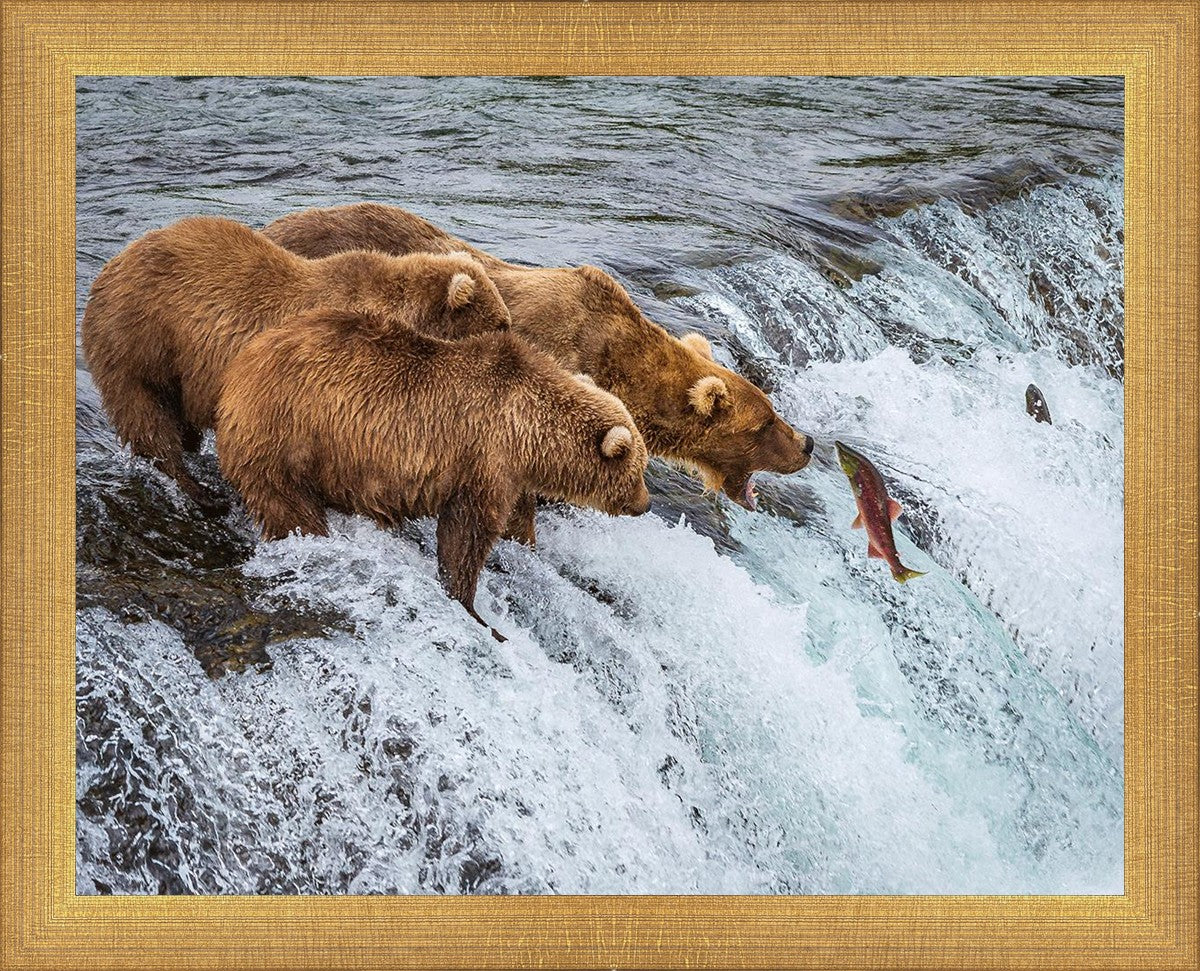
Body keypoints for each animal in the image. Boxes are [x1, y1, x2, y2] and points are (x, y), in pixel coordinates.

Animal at [80, 215, 511, 514]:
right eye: (501, 323)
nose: (513, 340)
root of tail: (110, 266)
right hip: (140, 341)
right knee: (147, 417)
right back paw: (199, 491)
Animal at [215, 306, 651, 639]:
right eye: (638, 470)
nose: (645, 504)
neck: (529, 432)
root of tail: (239, 368)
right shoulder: (483, 458)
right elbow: (466, 535)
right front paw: (474, 608)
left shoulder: (511, 475)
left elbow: (515, 522)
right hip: (287, 435)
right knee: (289, 505)